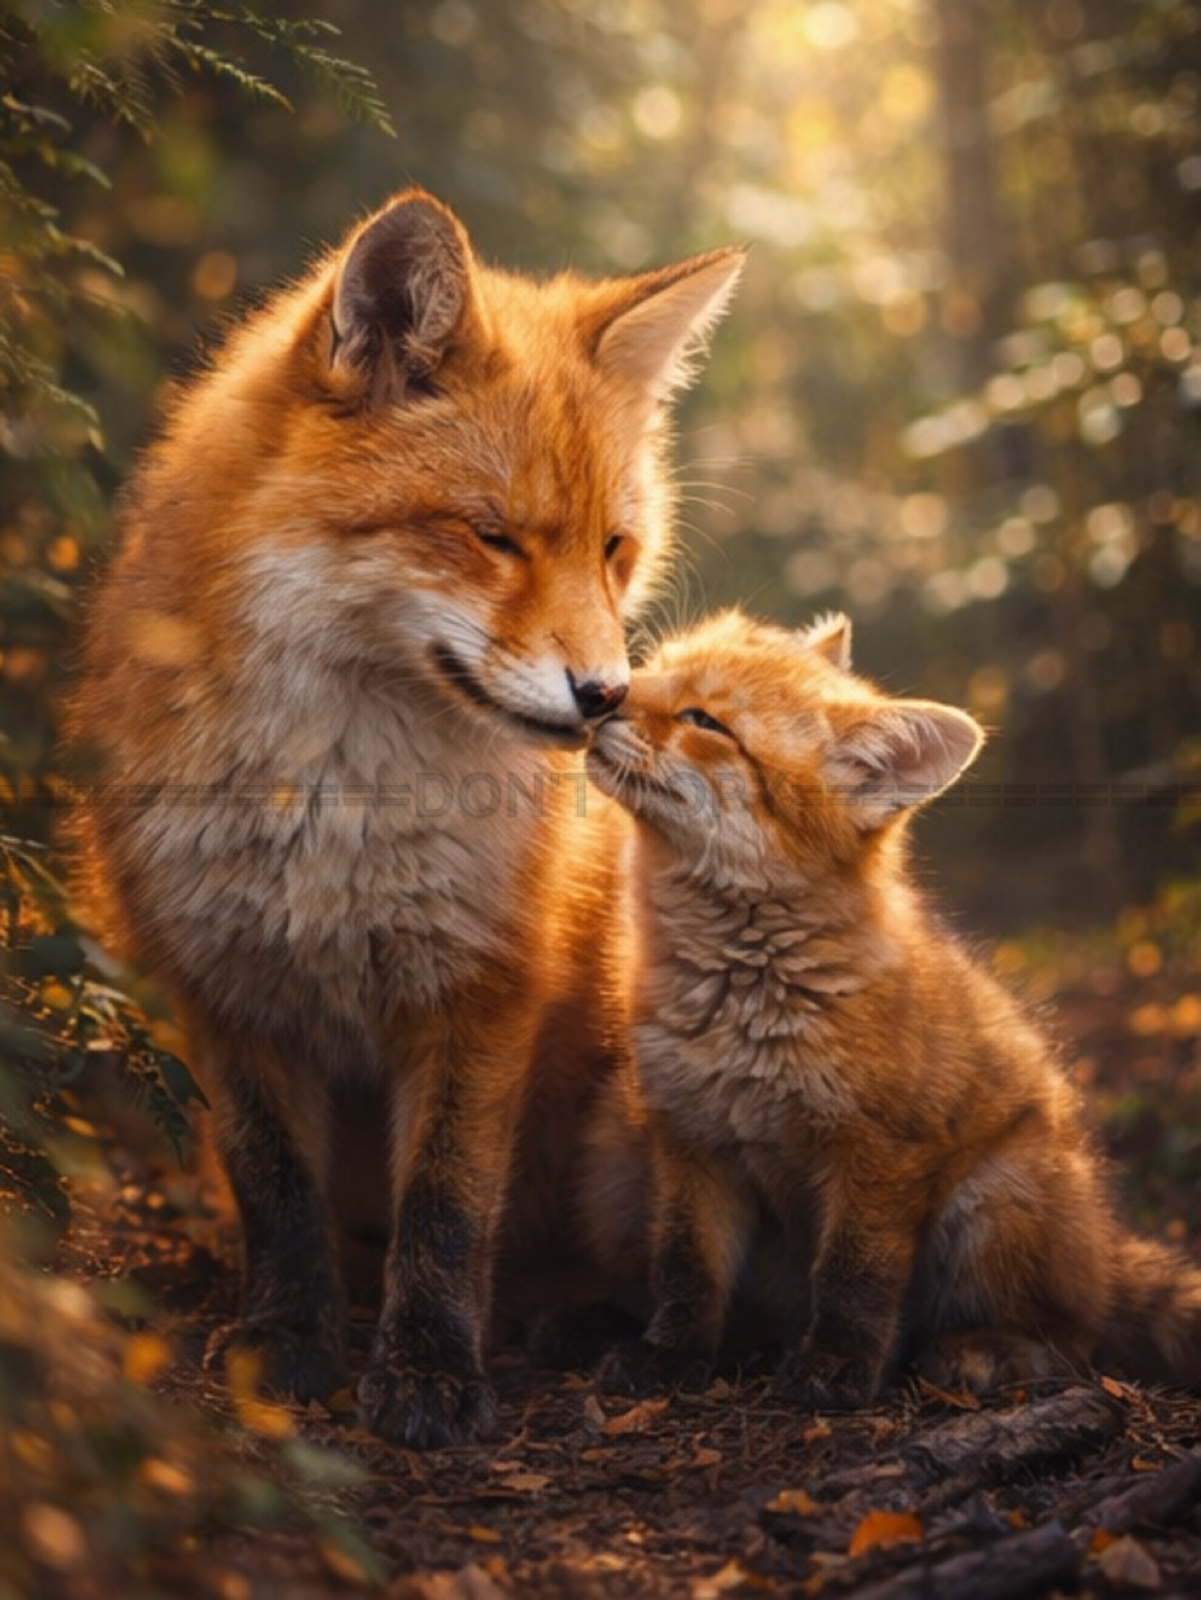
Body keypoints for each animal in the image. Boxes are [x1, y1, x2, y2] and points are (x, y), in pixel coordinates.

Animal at [68, 187, 742, 1446]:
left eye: (612, 548)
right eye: (493, 534)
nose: (607, 696)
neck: (338, 801)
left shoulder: (478, 985)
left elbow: (446, 1205)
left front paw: (428, 1369)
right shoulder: (224, 982)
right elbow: (275, 1193)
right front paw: (287, 1344)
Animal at [582, 608, 1201, 1404]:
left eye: (704, 720)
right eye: (653, 671)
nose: (599, 695)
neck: (744, 998)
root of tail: (1105, 1244)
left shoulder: (880, 1153)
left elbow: (856, 1278)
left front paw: (838, 1364)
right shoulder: (691, 1143)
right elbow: (687, 1273)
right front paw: (671, 1355)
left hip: (996, 1203)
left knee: (1074, 1338)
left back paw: (987, 1350)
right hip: (612, 1161)